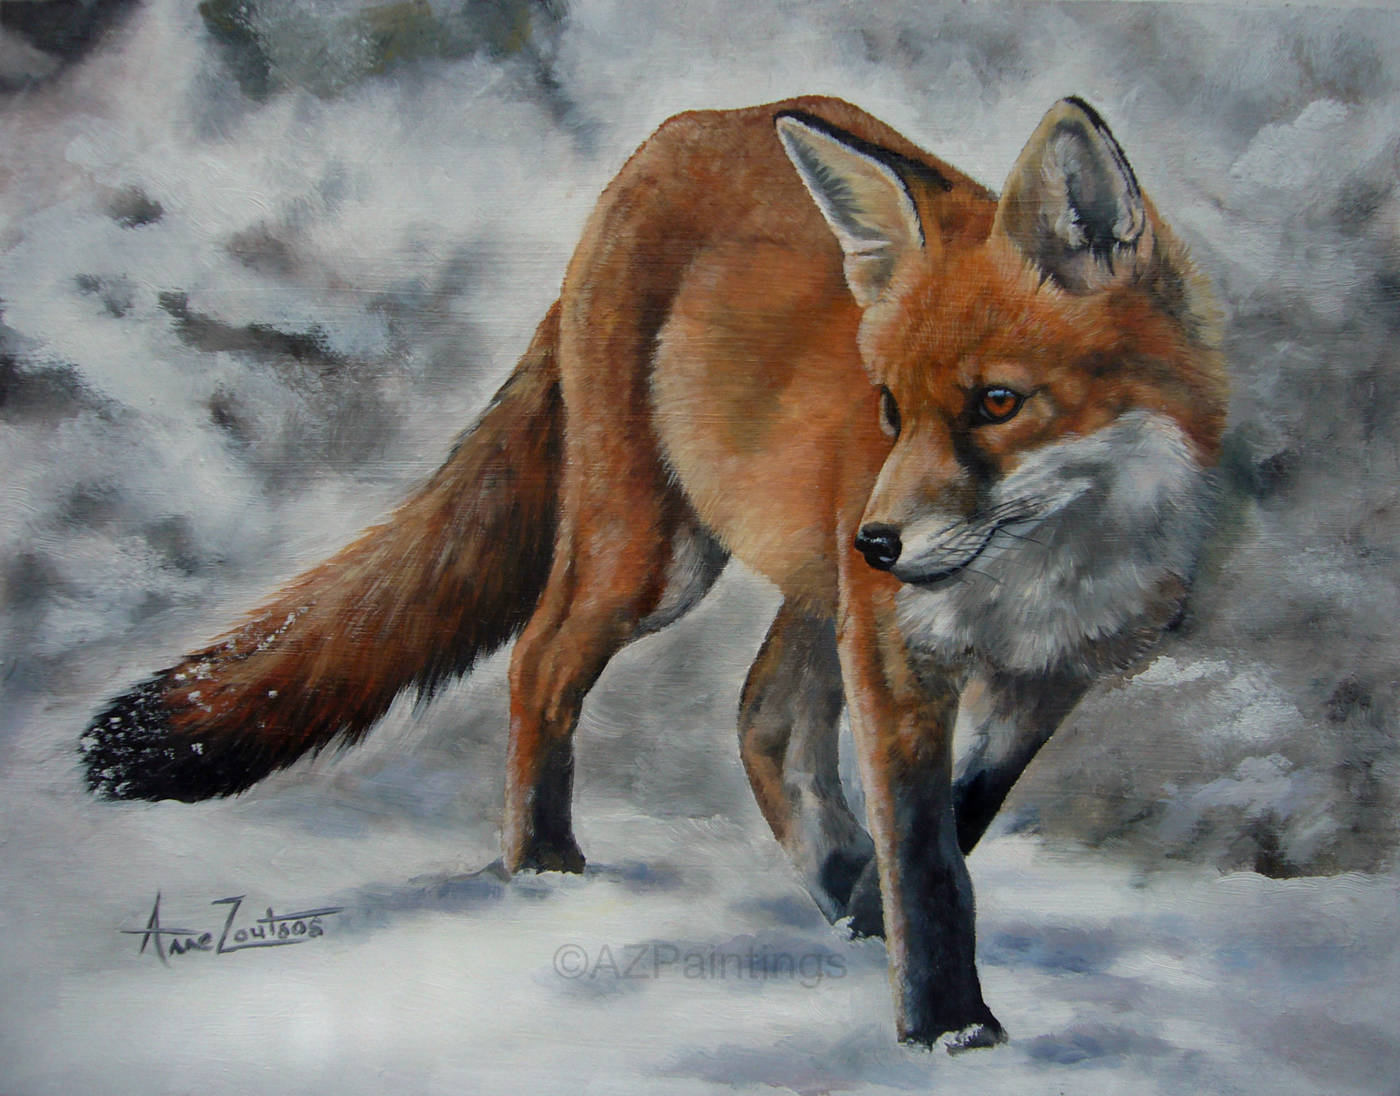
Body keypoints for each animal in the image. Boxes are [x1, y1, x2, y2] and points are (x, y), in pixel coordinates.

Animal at [80, 96, 1227, 1050]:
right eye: (890, 408)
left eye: (996, 403)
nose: (882, 544)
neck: (1042, 572)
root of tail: (701, 123)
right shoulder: (895, 654)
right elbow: (930, 859)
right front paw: (946, 1026)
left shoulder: (1048, 676)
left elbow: (960, 814)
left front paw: (884, 923)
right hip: (657, 560)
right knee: (541, 663)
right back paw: (542, 870)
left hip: (805, 582)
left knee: (762, 719)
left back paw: (834, 887)